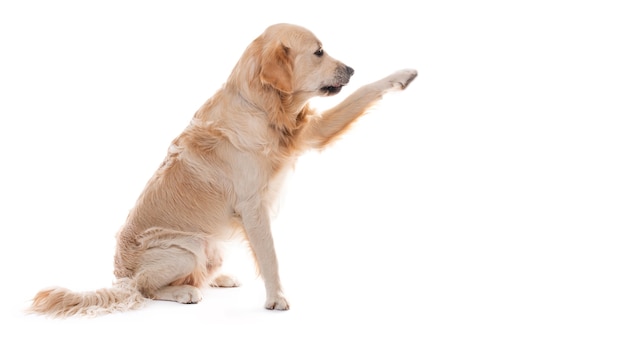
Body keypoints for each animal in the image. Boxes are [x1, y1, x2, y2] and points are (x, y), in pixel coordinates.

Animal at [31, 23, 416, 318]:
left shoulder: (310, 132)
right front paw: (276, 299)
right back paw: (183, 292)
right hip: (186, 247)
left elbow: (363, 94)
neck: (261, 106)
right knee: (144, 289)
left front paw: (402, 75)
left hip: (211, 247)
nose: (351, 69)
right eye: (319, 52)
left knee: (191, 275)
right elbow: (270, 255)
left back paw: (217, 278)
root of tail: (118, 277)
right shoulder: (253, 206)